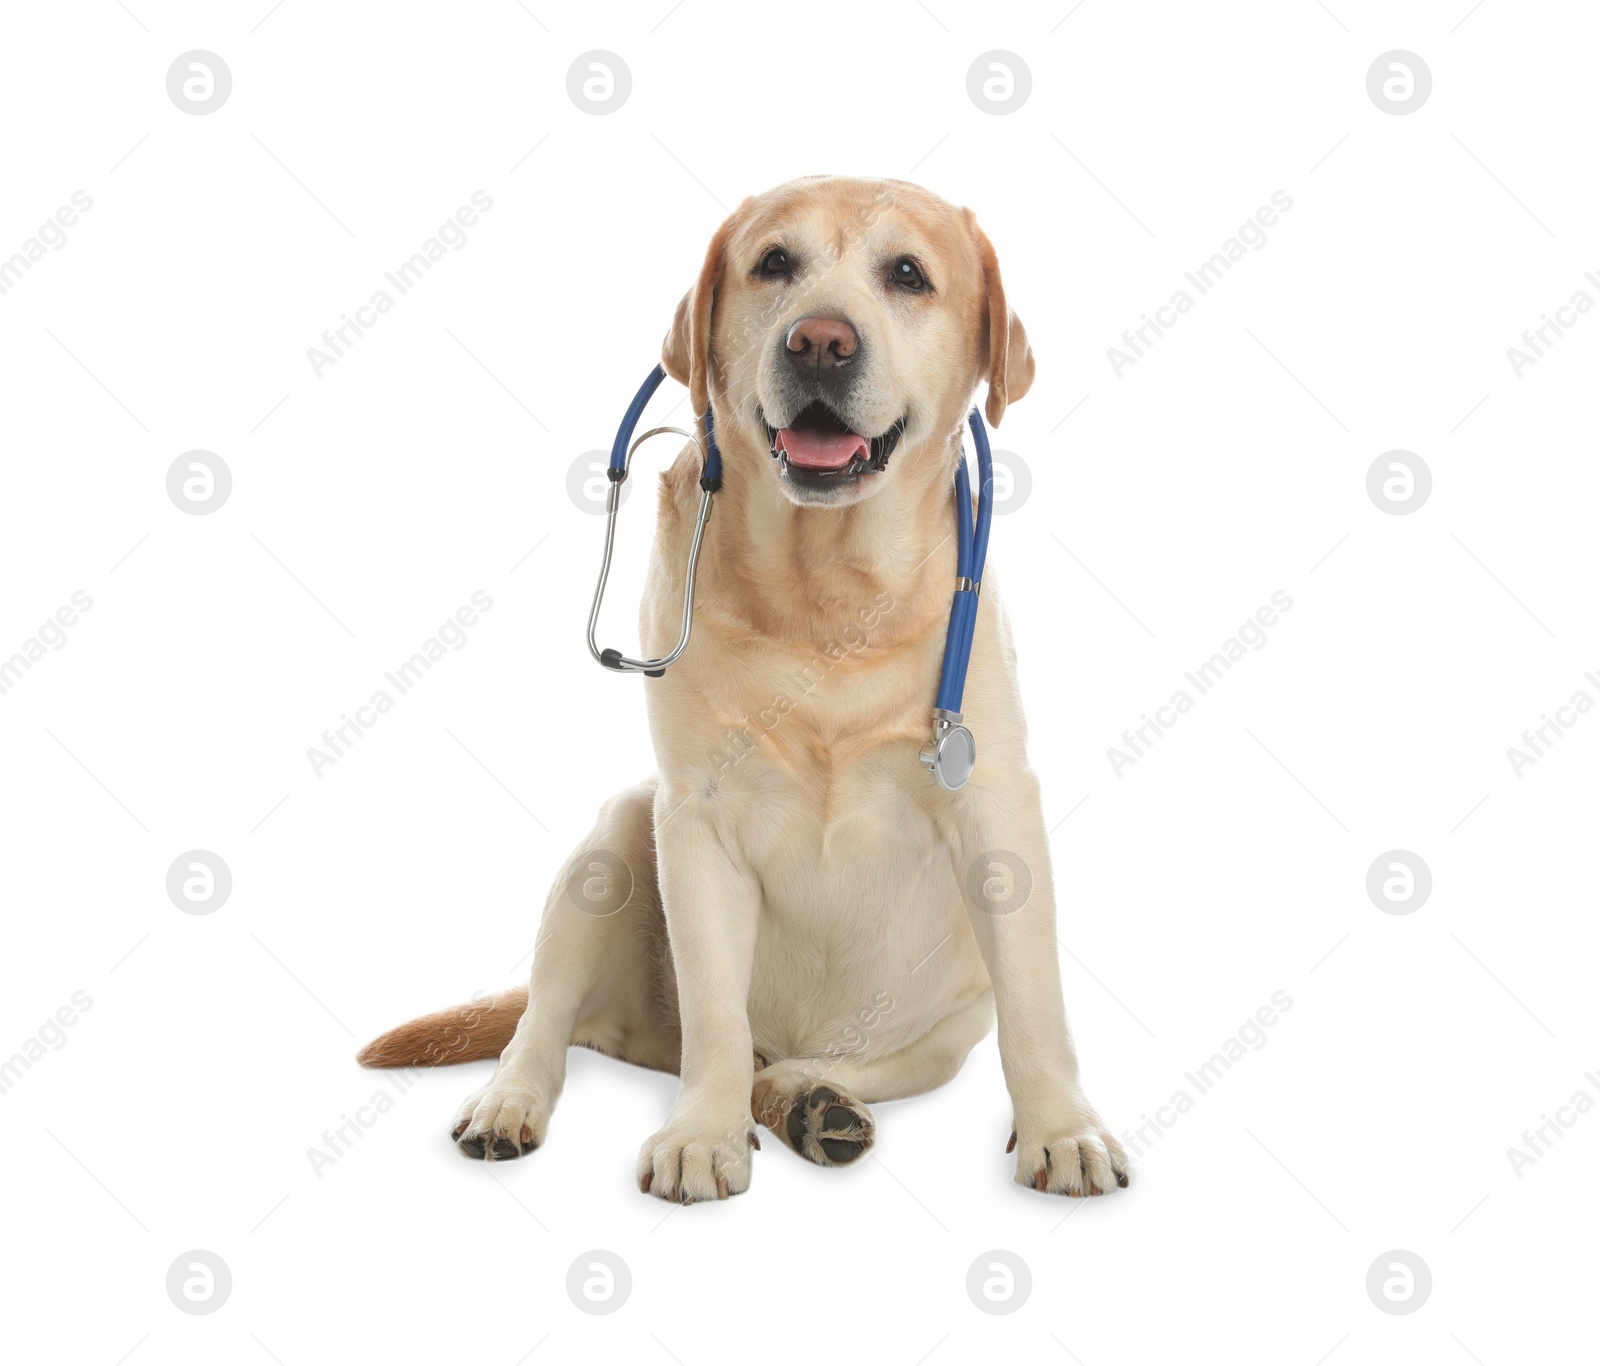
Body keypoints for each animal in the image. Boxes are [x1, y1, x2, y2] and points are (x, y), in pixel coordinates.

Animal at [366, 173, 1126, 1209]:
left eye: (907, 274)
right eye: (774, 263)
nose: (820, 341)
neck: (824, 587)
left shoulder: (998, 806)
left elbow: (1038, 1005)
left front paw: (1061, 1130)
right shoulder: (694, 821)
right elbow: (716, 1017)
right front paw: (700, 1136)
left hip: (942, 1026)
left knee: (829, 1063)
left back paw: (814, 1102)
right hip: (613, 842)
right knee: (550, 1024)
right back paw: (512, 1101)